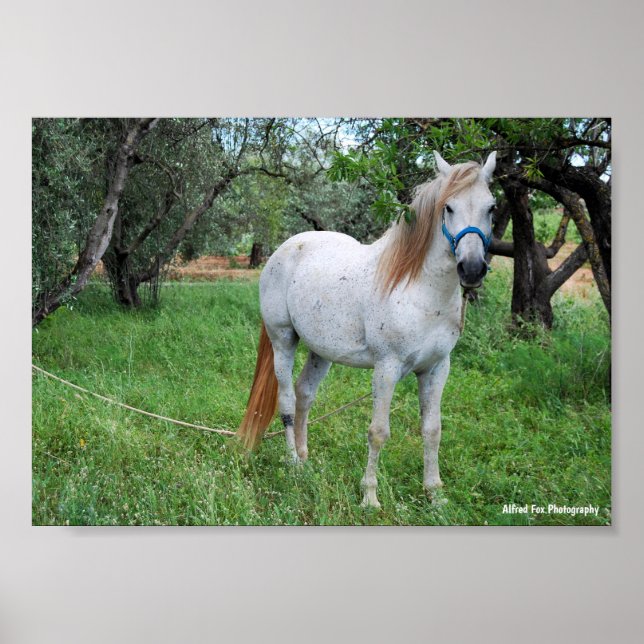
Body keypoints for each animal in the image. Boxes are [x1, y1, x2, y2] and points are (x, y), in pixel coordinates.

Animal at [237, 150, 497, 508]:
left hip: (321, 351)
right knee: (288, 400)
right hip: (283, 341)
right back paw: (293, 465)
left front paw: (434, 494)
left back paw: (305, 459)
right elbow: (378, 432)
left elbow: (432, 430)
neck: (418, 289)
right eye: (449, 207)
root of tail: (283, 250)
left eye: (492, 207)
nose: (471, 269)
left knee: (305, 394)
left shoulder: (436, 368)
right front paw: (370, 497)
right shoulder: (386, 368)